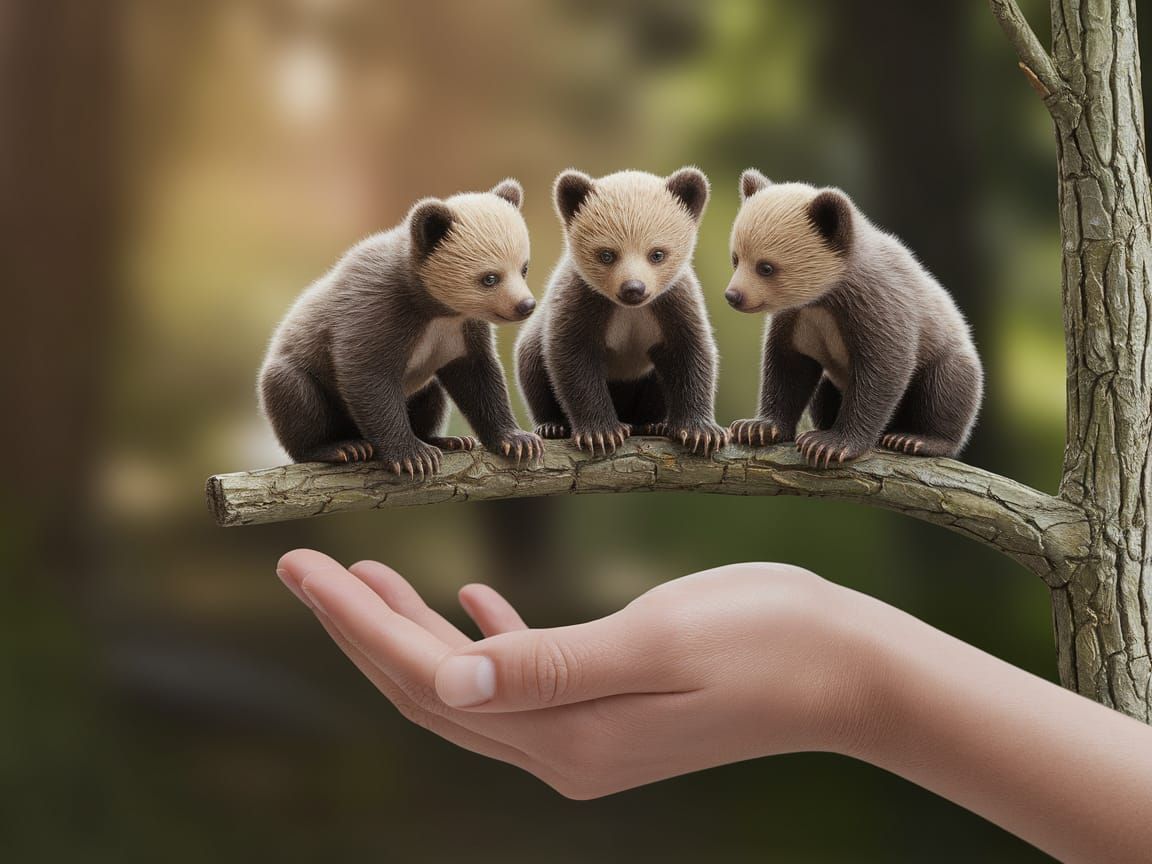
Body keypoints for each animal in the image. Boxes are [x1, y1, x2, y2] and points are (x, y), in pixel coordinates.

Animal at [259, 179, 543, 477]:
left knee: (433, 393)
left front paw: (517, 440)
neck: (432, 308)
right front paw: (413, 455)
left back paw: (445, 439)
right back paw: (340, 447)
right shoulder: (376, 310)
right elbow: (368, 377)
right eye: (489, 278)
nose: (526, 305)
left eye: (523, 268)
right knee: (292, 391)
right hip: (300, 372)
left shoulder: (463, 328)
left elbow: (478, 377)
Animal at [515, 167, 727, 456]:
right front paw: (601, 433)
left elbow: (691, 355)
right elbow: (574, 362)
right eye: (606, 254)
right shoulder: (581, 303)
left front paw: (702, 432)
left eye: (657, 253)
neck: (630, 312)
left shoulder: (674, 304)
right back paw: (552, 426)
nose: (633, 288)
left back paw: (653, 424)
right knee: (531, 364)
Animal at [725, 169, 983, 467]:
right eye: (736, 258)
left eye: (766, 267)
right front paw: (758, 428)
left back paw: (916, 439)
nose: (733, 296)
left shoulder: (875, 305)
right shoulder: (798, 317)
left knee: (948, 385)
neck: (826, 299)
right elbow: (789, 366)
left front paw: (831, 444)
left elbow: (884, 368)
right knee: (823, 393)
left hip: (946, 355)